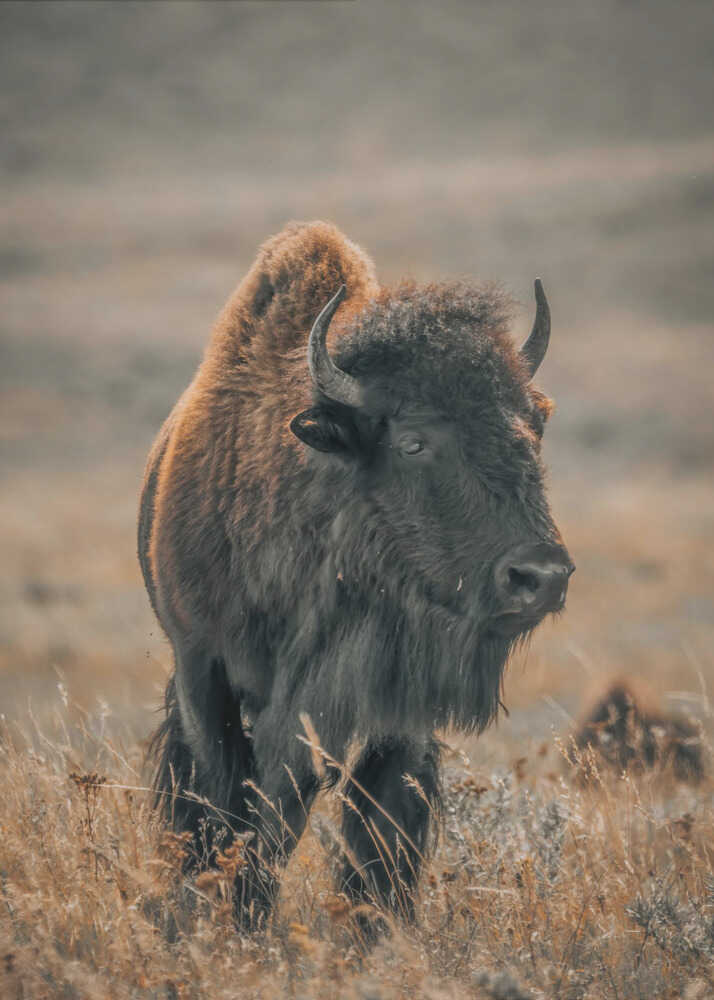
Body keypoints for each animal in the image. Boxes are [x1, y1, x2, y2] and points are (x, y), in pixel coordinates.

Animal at [138, 221, 573, 931]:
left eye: (532, 428)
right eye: (413, 441)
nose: (540, 577)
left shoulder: (396, 707)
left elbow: (379, 825)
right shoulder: (204, 669)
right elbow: (234, 802)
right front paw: (230, 916)